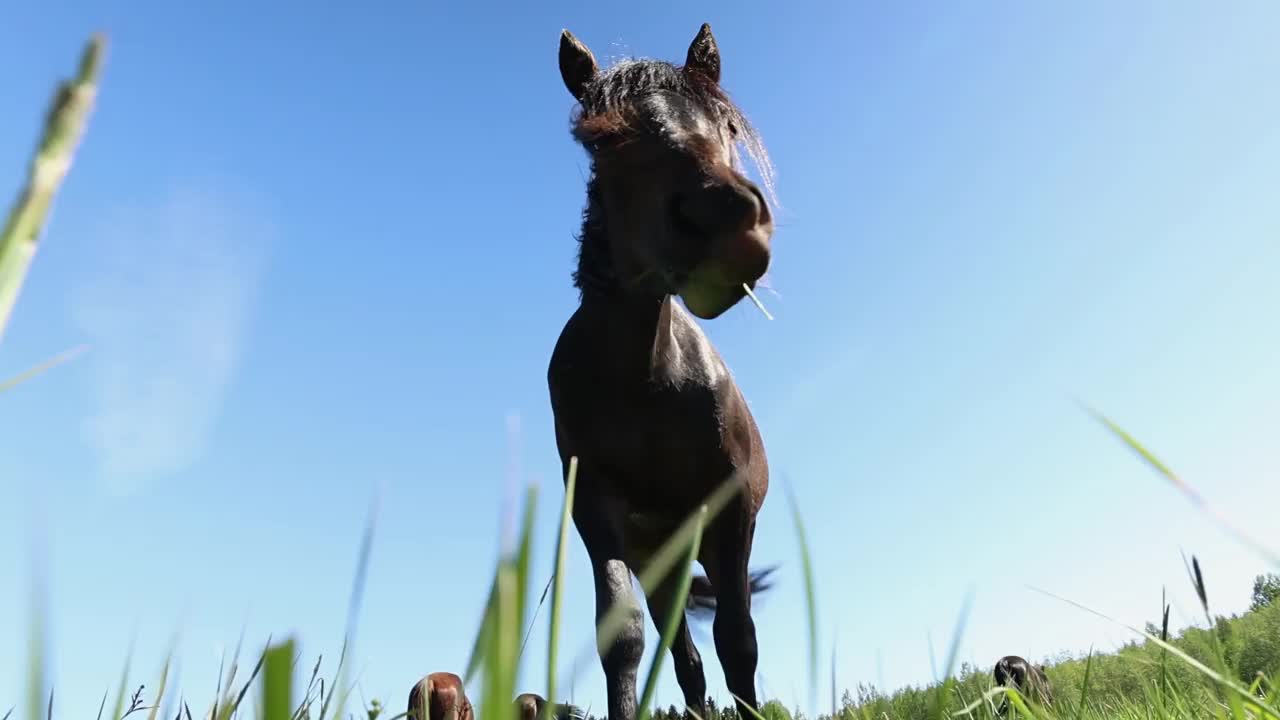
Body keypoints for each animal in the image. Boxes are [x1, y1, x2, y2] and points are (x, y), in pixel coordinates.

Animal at [550, 19, 778, 717]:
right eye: (601, 139)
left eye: (727, 125)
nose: (725, 220)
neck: (649, 382)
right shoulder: (597, 511)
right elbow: (622, 639)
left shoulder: (731, 512)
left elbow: (740, 642)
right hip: (664, 566)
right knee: (687, 663)